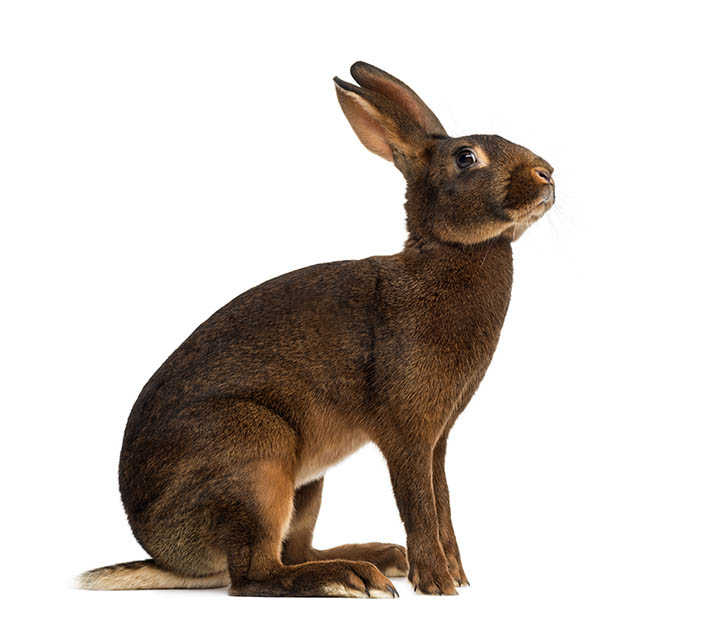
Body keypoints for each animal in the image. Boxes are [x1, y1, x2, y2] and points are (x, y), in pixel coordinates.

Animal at [78, 61, 554, 598]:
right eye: (466, 157)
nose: (547, 173)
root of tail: (169, 556)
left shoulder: (438, 441)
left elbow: (442, 502)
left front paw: (456, 574)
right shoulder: (408, 435)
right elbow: (419, 504)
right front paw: (436, 582)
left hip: (305, 484)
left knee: (295, 549)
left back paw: (376, 560)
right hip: (256, 458)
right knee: (255, 575)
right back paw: (348, 576)